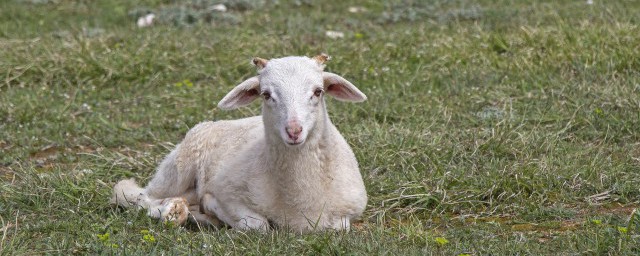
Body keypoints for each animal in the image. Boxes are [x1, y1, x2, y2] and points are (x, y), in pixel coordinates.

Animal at [112, 54, 368, 232]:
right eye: (266, 94)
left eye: (318, 91)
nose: (294, 131)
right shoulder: (228, 192)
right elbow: (258, 225)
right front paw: (212, 208)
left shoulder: (349, 212)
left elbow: (340, 227)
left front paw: (207, 214)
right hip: (178, 167)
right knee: (139, 197)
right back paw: (173, 211)